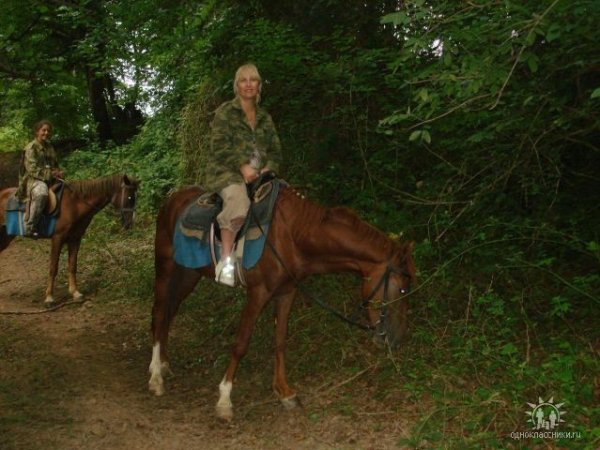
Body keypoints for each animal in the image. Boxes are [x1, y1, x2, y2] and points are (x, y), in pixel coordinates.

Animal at [0, 174, 139, 304]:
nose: (129, 223)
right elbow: (53, 268)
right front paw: (49, 298)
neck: (75, 204)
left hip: (6, 237)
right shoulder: (57, 238)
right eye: (130, 197)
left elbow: (72, 266)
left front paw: (75, 293)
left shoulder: (75, 239)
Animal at [148, 183, 416, 421]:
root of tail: (173, 198)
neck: (294, 236)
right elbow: (241, 343)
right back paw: (155, 378)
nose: (398, 340)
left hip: (188, 274)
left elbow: (280, 341)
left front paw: (285, 392)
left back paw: (163, 364)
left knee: (170, 313)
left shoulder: (287, 293)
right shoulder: (258, 293)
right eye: (403, 289)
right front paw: (224, 400)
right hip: (165, 268)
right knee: (160, 313)